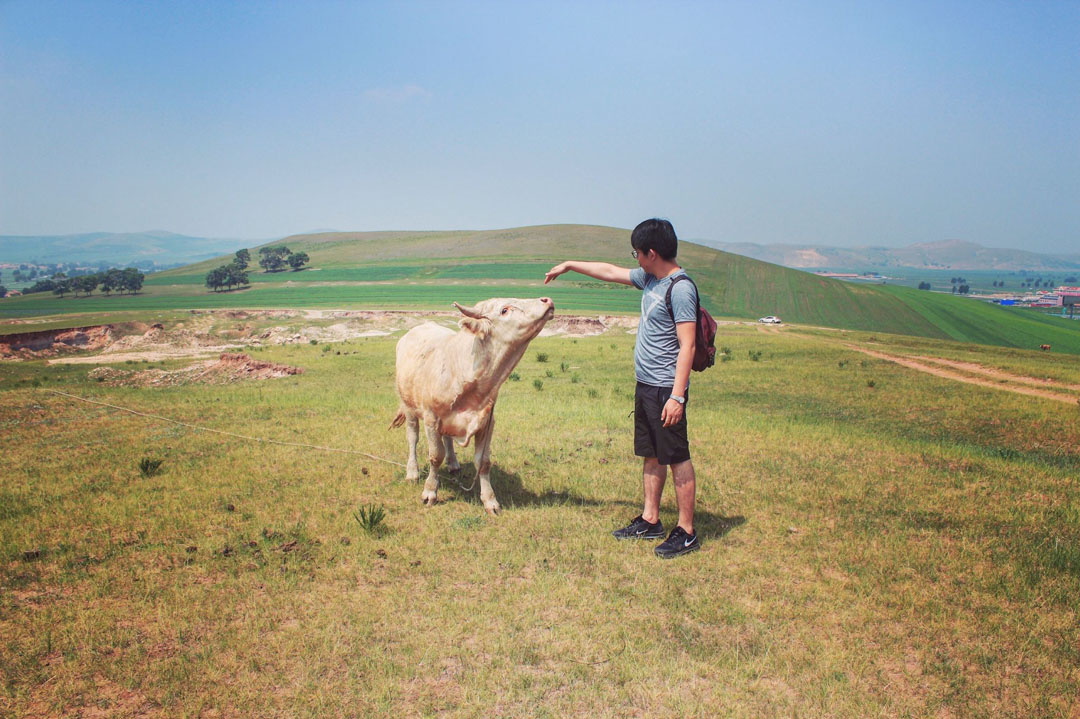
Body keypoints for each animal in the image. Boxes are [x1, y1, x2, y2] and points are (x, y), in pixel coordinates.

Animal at [390, 295, 557, 509]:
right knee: (412, 437)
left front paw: (490, 500)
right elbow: (435, 456)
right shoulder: (431, 419)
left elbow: (483, 462)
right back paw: (412, 472)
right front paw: (429, 492)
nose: (546, 299)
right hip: (409, 406)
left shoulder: (486, 422)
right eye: (504, 310)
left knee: (447, 438)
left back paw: (453, 463)